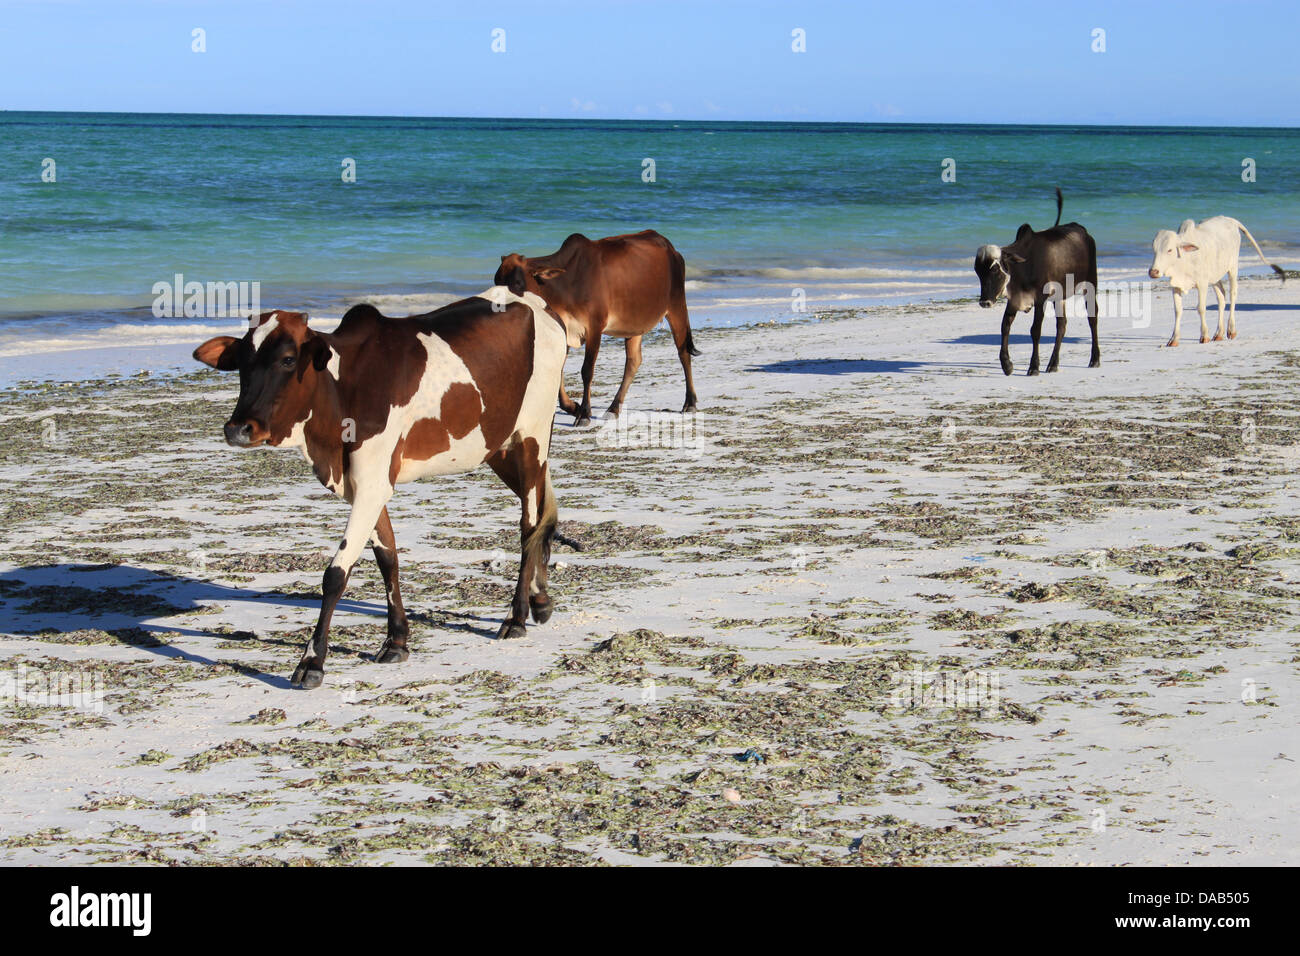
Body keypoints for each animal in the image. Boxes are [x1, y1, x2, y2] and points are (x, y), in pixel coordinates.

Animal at [192, 287, 574, 691]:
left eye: (287, 359)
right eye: (242, 362)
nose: (238, 428)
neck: (342, 388)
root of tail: (537, 302)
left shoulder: (372, 486)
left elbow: (336, 574)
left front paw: (312, 661)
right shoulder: (366, 486)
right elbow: (387, 558)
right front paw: (397, 640)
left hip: (531, 438)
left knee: (529, 526)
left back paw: (515, 616)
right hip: (498, 446)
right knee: (543, 514)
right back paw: (540, 600)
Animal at [493, 230, 702, 424]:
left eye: (517, 283)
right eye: (496, 282)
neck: (565, 286)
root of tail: (671, 248)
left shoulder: (594, 328)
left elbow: (587, 370)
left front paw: (584, 414)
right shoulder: (565, 329)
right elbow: (559, 370)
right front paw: (573, 407)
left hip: (676, 306)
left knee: (683, 352)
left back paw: (690, 403)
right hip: (635, 324)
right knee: (633, 362)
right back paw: (614, 408)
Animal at [972, 188, 1102, 374]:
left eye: (995, 269)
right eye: (978, 272)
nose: (985, 302)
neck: (1023, 267)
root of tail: (1082, 230)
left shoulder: (1040, 299)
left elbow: (1035, 330)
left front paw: (1033, 367)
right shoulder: (1014, 300)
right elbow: (1005, 327)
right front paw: (1007, 365)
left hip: (1090, 284)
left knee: (1093, 319)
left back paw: (1094, 359)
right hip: (1059, 296)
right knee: (1061, 325)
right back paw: (1053, 364)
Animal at [1149, 217, 1279, 348]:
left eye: (1169, 250)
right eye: (1154, 250)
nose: (1153, 272)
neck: (1185, 259)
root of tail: (1229, 219)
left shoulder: (1202, 284)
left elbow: (1201, 308)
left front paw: (1204, 336)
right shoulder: (1176, 286)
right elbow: (1178, 310)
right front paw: (1174, 339)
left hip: (1233, 268)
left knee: (1232, 294)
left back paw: (1231, 330)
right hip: (1215, 277)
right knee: (1221, 297)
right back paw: (1219, 333)